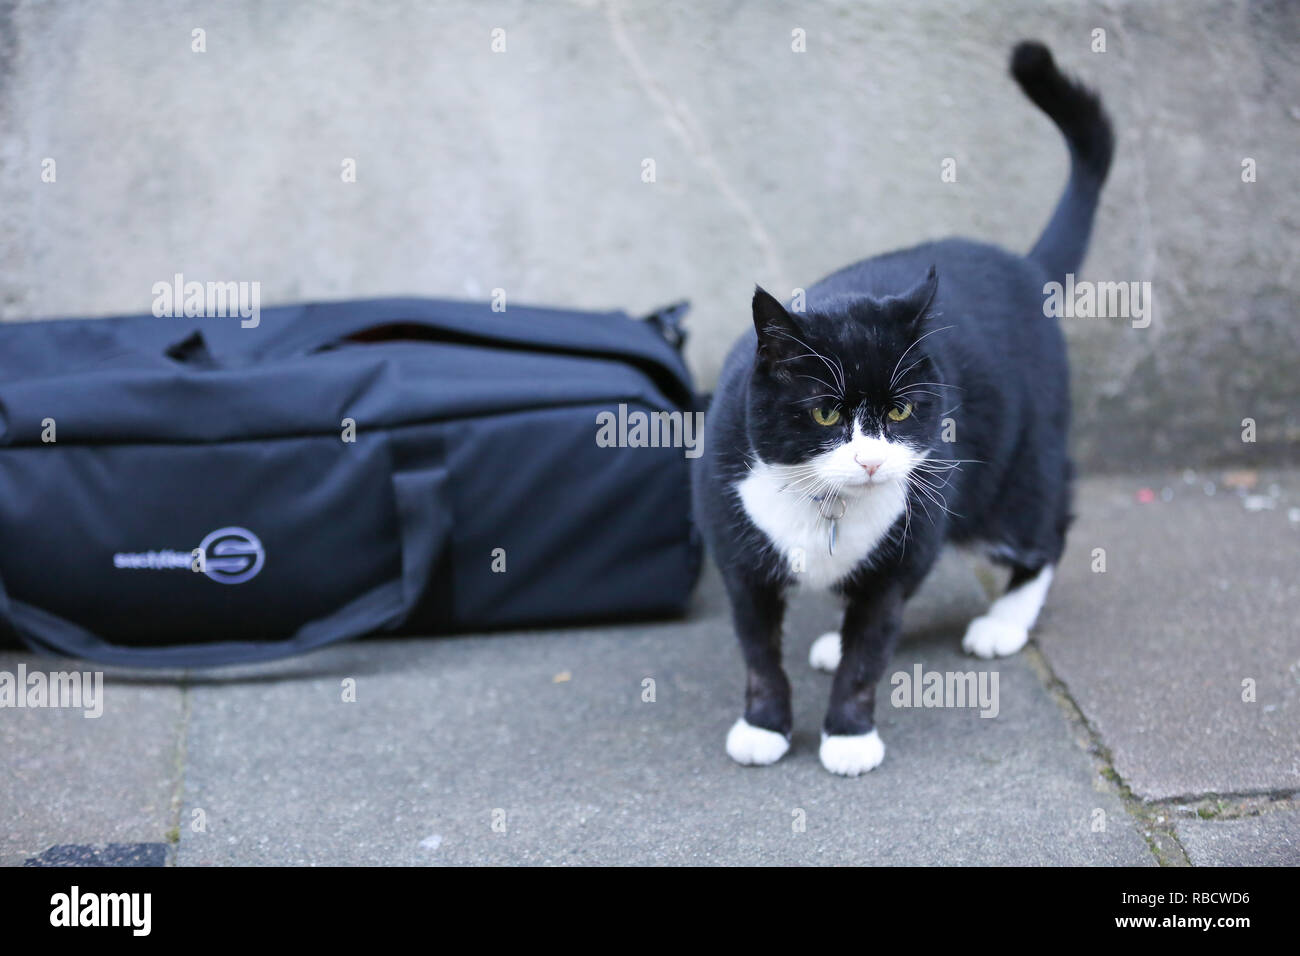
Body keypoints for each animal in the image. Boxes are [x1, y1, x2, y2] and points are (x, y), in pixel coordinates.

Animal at [696, 42, 1112, 780]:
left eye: (900, 412)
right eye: (825, 416)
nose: (869, 459)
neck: (825, 506)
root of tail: (1025, 268)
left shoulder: (897, 554)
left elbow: (871, 649)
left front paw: (849, 735)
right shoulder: (738, 553)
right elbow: (757, 651)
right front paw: (764, 725)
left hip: (1015, 469)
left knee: (1047, 526)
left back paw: (1004, 621)